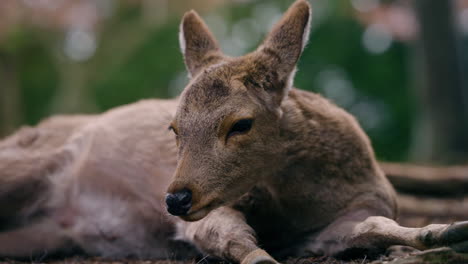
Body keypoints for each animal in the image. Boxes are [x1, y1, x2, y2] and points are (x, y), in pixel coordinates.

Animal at [0, 1, 468, 262]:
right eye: (174, 127)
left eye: (241, 124)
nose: (174, 198)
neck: (296, 205)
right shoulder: (212, 210)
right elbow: (233, 239)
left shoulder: (343, 219)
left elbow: (375, 225)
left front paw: (445, 232)